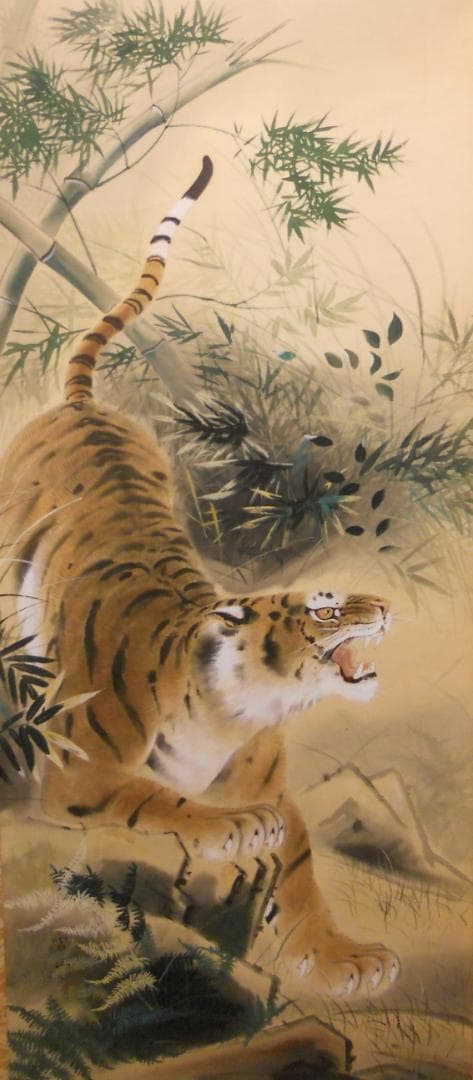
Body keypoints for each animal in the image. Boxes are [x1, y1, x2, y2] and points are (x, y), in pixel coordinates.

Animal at [0, 156, 399, 998]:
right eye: (323, 605)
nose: (382, 608)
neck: (234, 709)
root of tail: (82, 406)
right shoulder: (84, 771)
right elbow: (150, 796)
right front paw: (230, 828)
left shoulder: (269, 781)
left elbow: (301, 869)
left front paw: (345, 959)